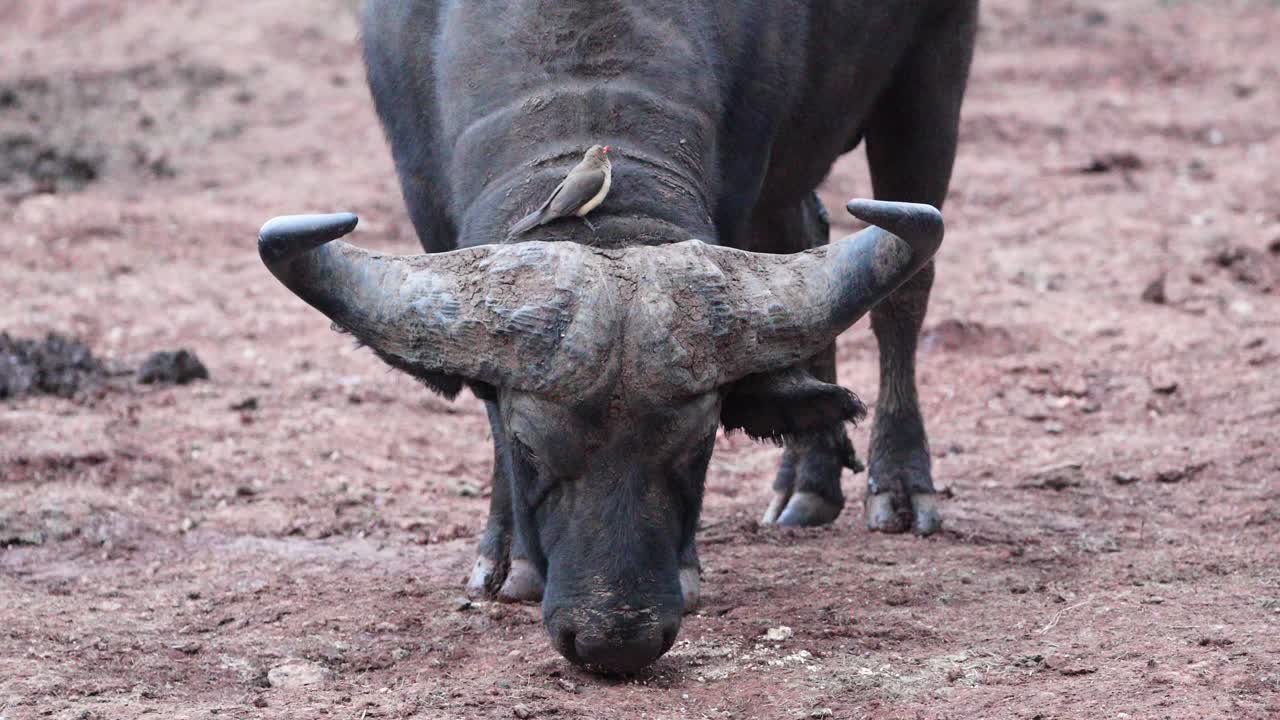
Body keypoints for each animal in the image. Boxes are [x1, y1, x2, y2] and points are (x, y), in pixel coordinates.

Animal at [260, 0, 976, 673]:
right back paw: (808, 481)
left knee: (903, 294)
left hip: (931, 74)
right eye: (528, 448)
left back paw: (899, 488)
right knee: (807, 234)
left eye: (700, 445)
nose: (616, 639)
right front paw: (508, 558)